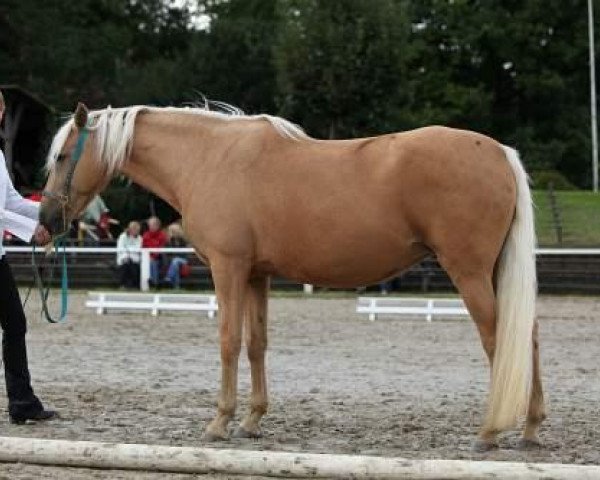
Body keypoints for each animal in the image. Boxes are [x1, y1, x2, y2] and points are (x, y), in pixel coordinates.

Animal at [37, 103, 544, 452]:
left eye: (61, 157)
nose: (45, 224)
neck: (208, 158)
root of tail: (499, 153)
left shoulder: (228, 268)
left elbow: (228, 341)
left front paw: (219, 423)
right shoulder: (256, 275)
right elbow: (256, 343)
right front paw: (252, 421)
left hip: (469, 272)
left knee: (499, 341)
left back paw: (490, 432)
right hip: (493, 272)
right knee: (527, 338)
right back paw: (531, 427)